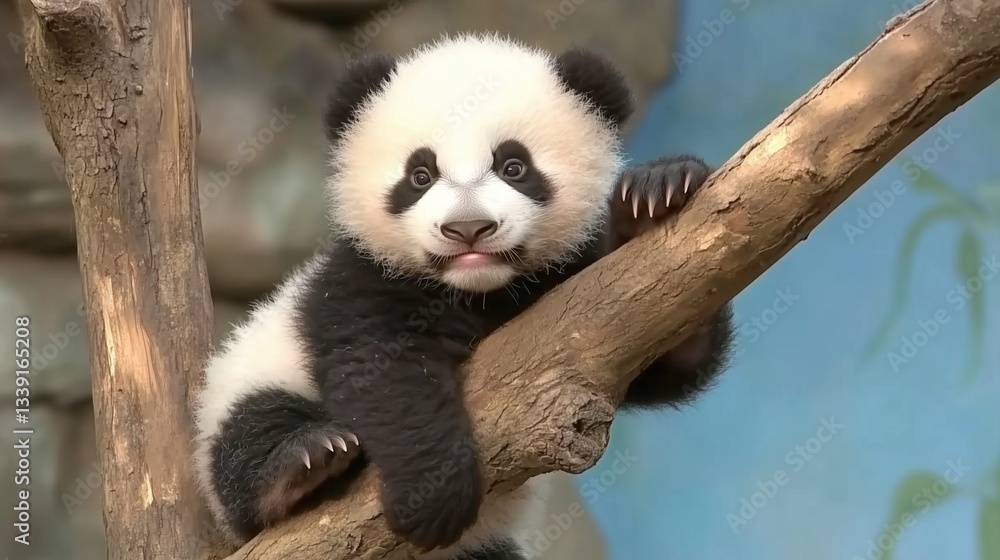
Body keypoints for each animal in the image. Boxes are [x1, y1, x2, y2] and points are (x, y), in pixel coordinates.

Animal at [193, 32, 734, 560]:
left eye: (514, 166)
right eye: (420, 175)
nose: (468, 228)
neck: (478, 291)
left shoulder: (578, 292)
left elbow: (659, 343)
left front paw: (657, 195)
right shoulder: (360, 284)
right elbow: (386, 376)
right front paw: (431, 499)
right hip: (248, 382)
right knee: (248, 433)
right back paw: (301, 464)